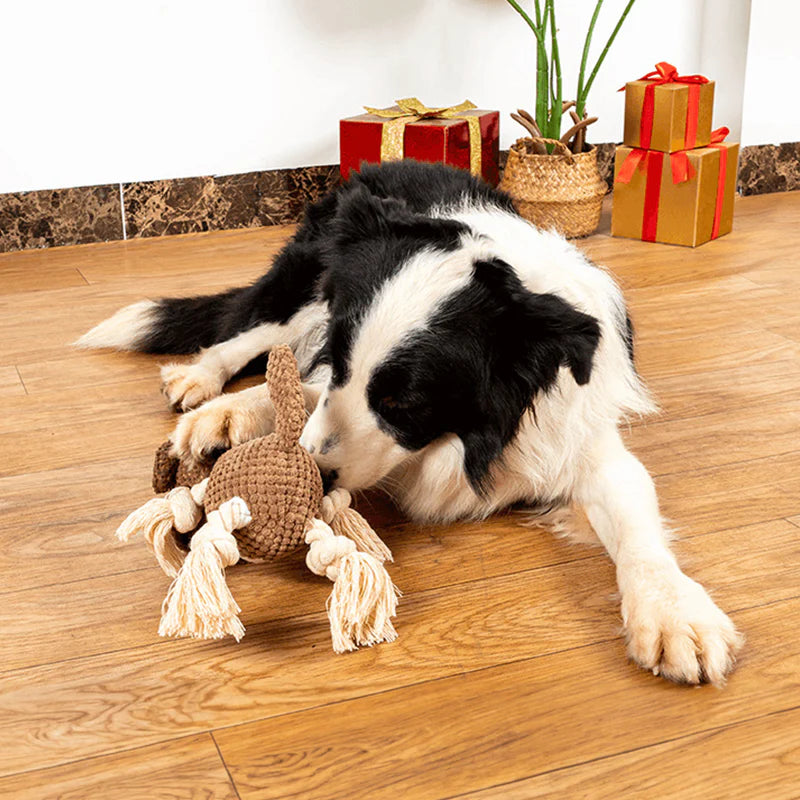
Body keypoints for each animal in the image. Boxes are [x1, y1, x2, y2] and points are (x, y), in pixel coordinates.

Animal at [79, 159, 744, 684]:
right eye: (344, 359)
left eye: (404, 403)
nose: (311, 475)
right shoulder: (328, 349)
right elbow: (299, 384)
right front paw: (226, 419)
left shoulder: (582, 437)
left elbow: (637, 525)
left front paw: (674, 614)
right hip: (307, 284)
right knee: (255, 332)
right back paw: (202, 384)